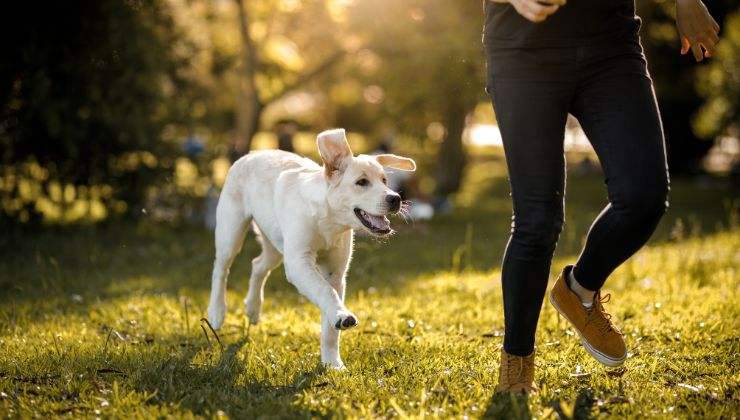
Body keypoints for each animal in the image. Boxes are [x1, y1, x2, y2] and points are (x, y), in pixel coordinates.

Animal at [208, 127, 416, 368]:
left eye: (384, 180)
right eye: (362, 182)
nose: (396, 198)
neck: (329, 219)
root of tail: (252, 153)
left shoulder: (335, 273)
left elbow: (329, 322)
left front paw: (332, 363)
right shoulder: (299, 263)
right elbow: (325, 292)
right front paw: (342, 317)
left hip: (276, 244)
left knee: (258, 265)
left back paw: (252, 308)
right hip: (231, 231)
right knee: (221, 269)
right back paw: (216, 312)